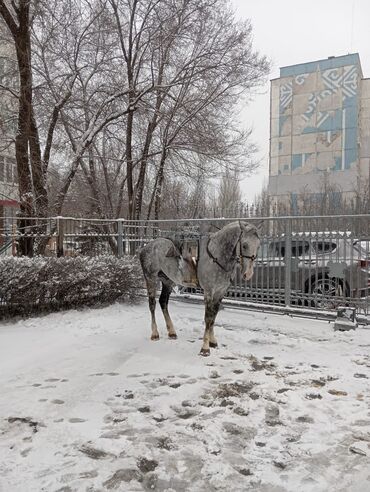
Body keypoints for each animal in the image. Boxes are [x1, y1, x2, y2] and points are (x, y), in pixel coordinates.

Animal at [140, 221, 262, 356]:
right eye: (244, 245)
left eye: (258, 246)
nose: (248, 274)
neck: (217, 257)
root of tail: (147, 246)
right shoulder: (209, 292)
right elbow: (208, 318)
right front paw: (205, 348)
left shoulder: (220, 292)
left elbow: (213, 316)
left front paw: (213, 342)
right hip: (150, 278)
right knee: (152, 304)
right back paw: (155, 334)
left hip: (167, 281)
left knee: (163, 302)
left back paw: (172, 332)